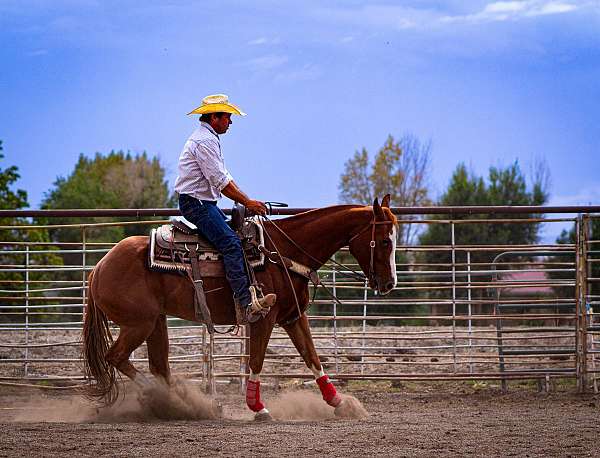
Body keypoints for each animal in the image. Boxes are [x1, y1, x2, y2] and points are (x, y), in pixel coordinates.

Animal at [81, 195, 398, 416]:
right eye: (384, 241)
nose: (389, 284)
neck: (283, 252)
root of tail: (99, 267)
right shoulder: (264, 318)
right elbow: (256, 361)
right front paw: (258, 408)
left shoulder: (294, 317)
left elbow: (313, 358)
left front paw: (339, 402)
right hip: (138, 324)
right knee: (116, 357)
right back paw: (170, 401)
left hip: (156, 322)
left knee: (158, 365)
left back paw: (184, 404)